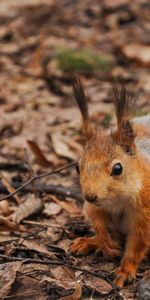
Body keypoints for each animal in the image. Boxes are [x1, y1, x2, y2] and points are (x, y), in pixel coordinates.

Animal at [70, 77, 150, 288]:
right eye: (77, 167)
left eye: (117, 169)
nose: (90, 196)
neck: (117, 199)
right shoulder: (93, 207)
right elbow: (99, 224)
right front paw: (106, 245)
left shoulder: (145, 213)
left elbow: (137, 244)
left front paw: (125, 270)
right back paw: (89, 242)